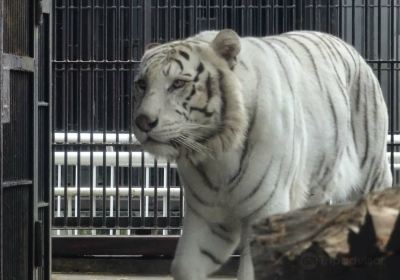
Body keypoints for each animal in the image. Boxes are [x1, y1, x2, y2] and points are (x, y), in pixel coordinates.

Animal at [133, 29, 392, 278]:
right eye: (142, 84)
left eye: (178, 83)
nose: (143, 121)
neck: (217, 152)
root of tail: (352, 49)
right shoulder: (209, 217)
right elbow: (184, 266)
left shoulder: (267, 210)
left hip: (370, 178)